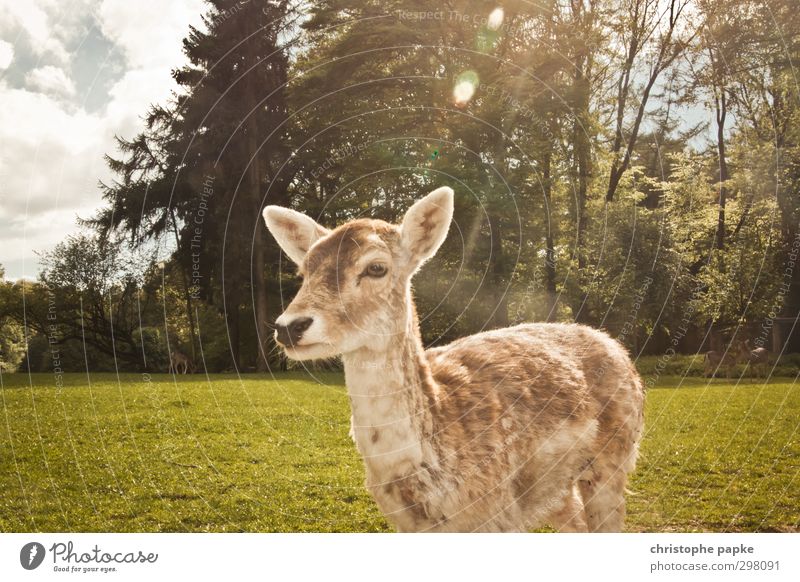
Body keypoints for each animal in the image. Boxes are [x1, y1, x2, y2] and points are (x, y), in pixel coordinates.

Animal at [262, 189, 644, 536]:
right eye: (304, 271)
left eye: (376, 267)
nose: (289, 326)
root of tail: (616, 346)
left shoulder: (500, 513)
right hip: (557, 490)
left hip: (615, 459)